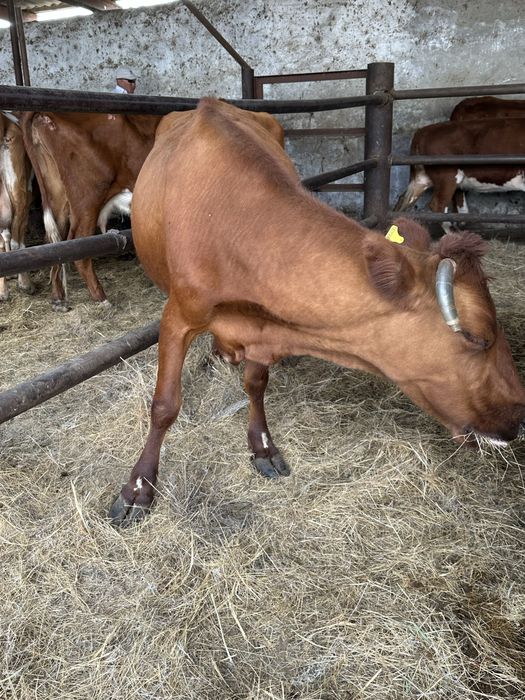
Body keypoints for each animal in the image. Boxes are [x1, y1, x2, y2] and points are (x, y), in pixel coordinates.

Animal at [21, 111, 161, 310]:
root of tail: (44, 114)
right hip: (87, 198)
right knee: (79, 245)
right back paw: (101, 297)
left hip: (57, 196)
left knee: (54, 243)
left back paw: (58, 298)